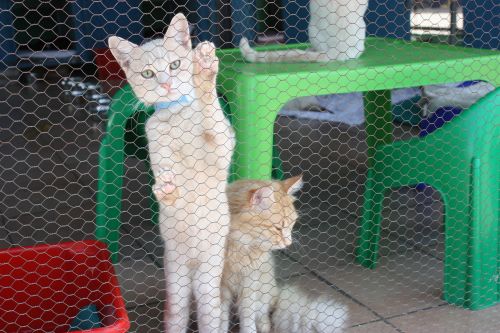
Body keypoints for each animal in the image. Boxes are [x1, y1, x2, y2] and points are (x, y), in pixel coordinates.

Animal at [108, 13, 233, 332]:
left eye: (175, 65)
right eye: (148, 73)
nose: (165, 84)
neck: (177, 114)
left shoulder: (221, 148)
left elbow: (212, 118)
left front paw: (204, 71)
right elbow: (169, 188)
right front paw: (166, 187)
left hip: (209, 279)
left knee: (210, 315)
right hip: (175, 281)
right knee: (177, 313)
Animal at [223, 175, 348, 330]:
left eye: (292, 224)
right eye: (278, 228)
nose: (289, 243)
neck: (239, 247)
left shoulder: (249, 285)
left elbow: (248, 320)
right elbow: (220, 320)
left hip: (264, 293)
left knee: (264, 318)